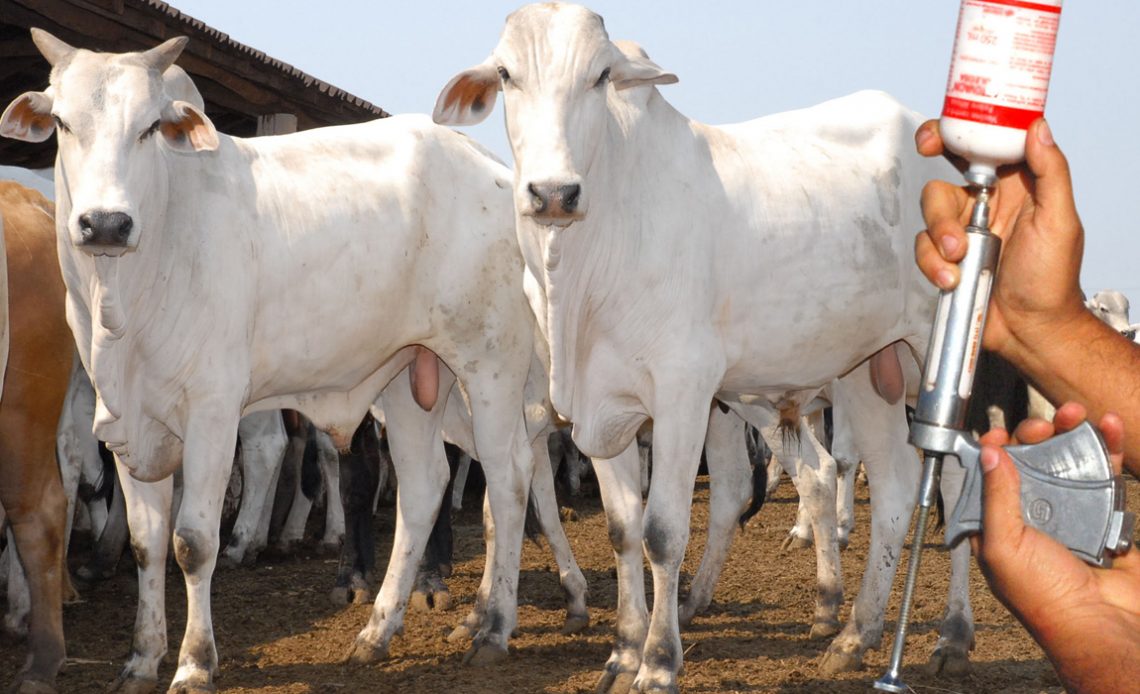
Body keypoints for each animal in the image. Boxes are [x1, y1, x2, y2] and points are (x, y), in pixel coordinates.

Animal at [0, 29, 570, 688]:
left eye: (148, 128)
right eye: (63, 124)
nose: (106, 224)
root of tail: (492, 167)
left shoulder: (213, 412)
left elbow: (192, 542)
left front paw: (194, 663)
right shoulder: (124, 420)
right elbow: (147, 543)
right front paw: (141, 659)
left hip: (489, 364)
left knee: (508, 478)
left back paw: (494, 626)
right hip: (411, 379)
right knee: (426, 486)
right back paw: (378, 631)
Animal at [435, 4, 962, 688]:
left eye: (600, 75)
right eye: (505, 73)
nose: (553, 193)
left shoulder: (683, 393)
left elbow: (662, 532)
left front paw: (659, 662)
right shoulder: (596, 409)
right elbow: (622, 528)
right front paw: (622, 650)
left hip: (943, 350)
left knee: (958, 481)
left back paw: (952, 634)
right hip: (868, 367)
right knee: (895, 486)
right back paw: (855, 634)